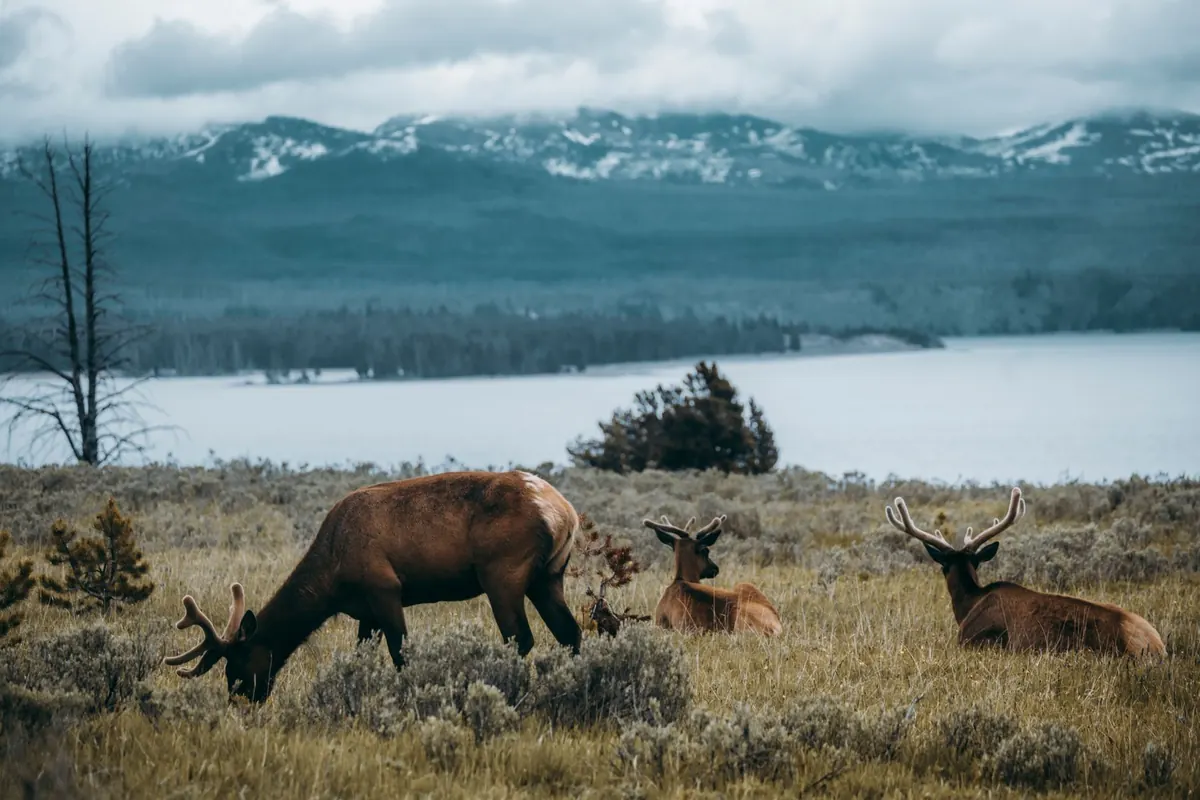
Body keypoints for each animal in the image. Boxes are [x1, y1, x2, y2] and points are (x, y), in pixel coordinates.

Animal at [164, 470, 583, 702]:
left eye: (237, 663)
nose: (242, 699)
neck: (332, 580)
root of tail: (564, 512)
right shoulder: (365, 611)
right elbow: (362, 656)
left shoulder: (384, 588)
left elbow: (401, 653)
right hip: (549, 576)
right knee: (570, 632)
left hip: (502, 572)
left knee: (521, 638)